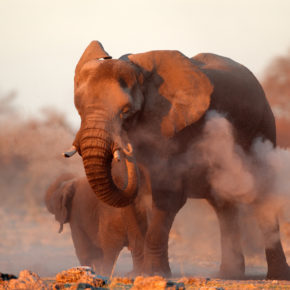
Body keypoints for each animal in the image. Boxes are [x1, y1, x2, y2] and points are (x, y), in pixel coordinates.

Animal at [65, 40, 290, 278]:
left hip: (264, 128)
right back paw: (229, 275)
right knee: (222, 204)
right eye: (79, 110)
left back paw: (276, 276)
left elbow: (167, 196)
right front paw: (137, 275)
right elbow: (131, 203)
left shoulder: (176, 129)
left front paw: (155, 274)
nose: (126, 150)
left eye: (126, 112)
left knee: (262, 196)